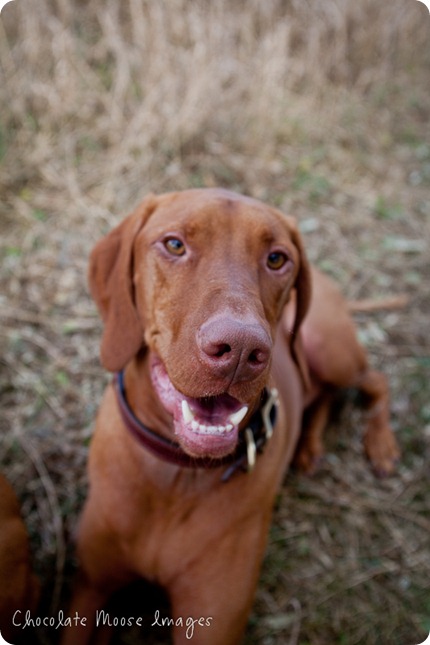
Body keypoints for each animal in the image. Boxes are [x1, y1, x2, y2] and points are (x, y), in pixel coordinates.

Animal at [63, 189, 400, 640]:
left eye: (277, 258)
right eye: (174, 245)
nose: (241, 349)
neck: (177, 475)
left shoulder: (214, 623)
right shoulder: (90, 588)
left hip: (329, 348)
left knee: (374, 379)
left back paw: (380, 445)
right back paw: (310, 445)